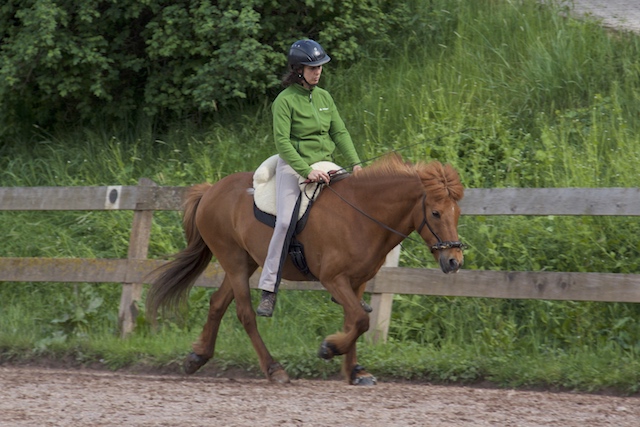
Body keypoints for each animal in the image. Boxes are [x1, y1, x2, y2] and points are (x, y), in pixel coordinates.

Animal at [146, 155, 464, 388]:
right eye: (435, 213)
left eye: (457, 213)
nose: (454, 261)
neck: (361, 213)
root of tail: (211, 190)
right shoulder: (333, 279)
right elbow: (360, 320)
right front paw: (329, 348)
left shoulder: (357, 282)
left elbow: (355, 320)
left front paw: (355, 370)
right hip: (234, 261)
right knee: (245, 314)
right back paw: (274, 369)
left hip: (246, 262)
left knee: (217, 304)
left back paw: (197, 357)